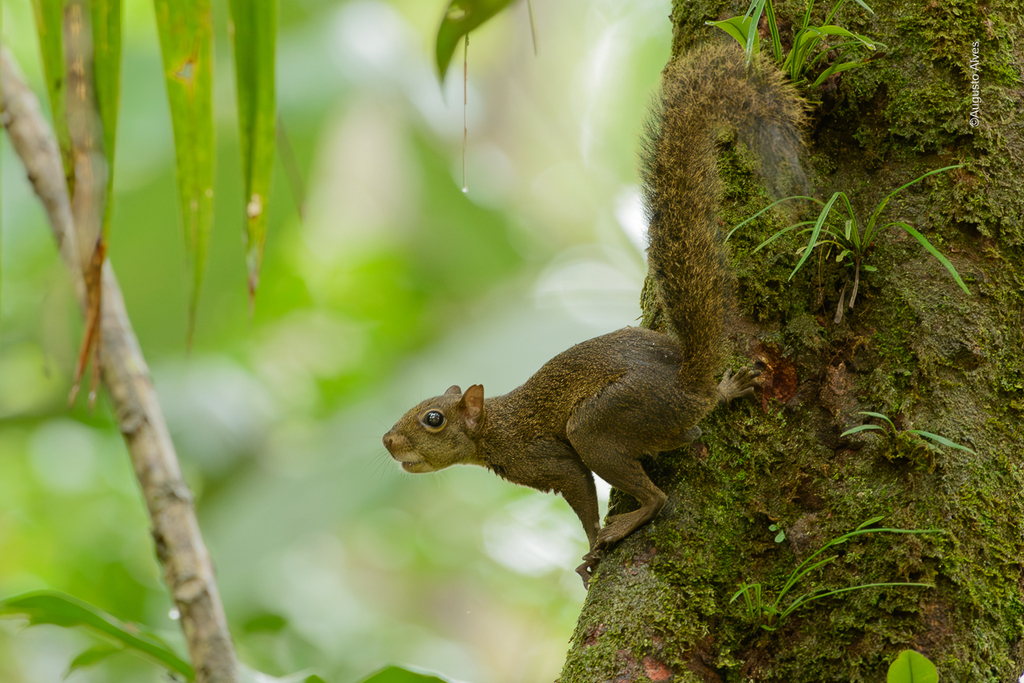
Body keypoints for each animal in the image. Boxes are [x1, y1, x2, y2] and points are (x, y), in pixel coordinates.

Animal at [380, 42, 802, 589]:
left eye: (433, 418)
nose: (387, 441)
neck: (496, 428)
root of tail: (687, 385)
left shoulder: (552, 460)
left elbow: (582, 497)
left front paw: (590, 551)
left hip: (603, 423)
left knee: (656, 496)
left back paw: (627, 522)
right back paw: (728, 389)